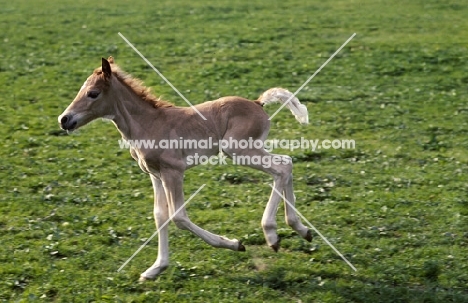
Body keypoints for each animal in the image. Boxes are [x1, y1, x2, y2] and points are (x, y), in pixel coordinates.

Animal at [59, 57, 314, 282]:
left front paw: (234, 244)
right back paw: (301, 229)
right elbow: (159, 216)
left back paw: (272, 234)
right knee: (286, 162)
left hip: (238, 150)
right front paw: (155, 269)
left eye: (93, 93)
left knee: (281, 167)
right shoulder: (155, 174)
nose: (64, 119)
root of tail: (257, 103)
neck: (148, 123)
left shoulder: (173, 171)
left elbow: (178, 216)